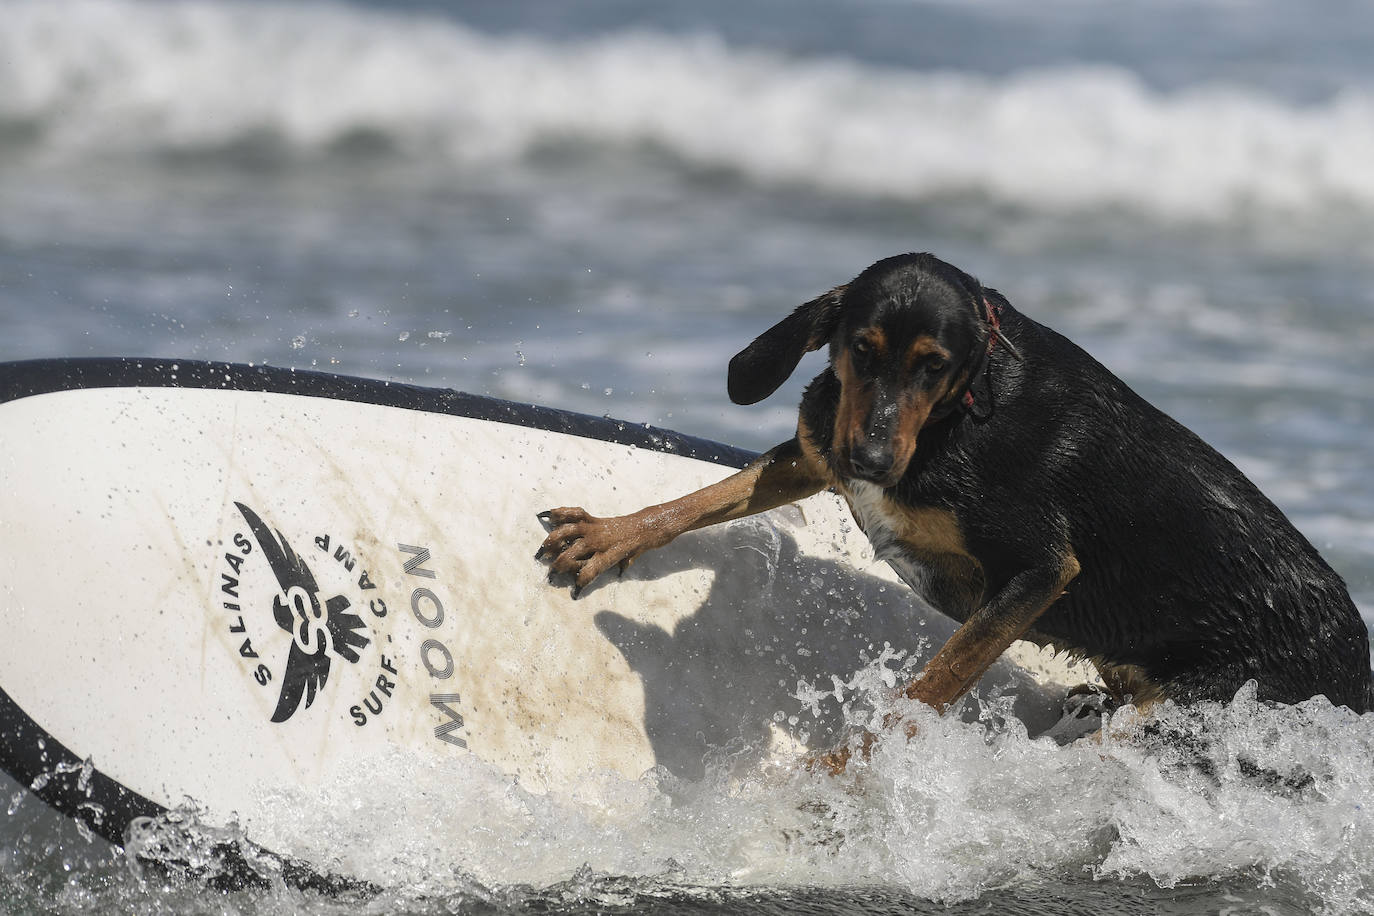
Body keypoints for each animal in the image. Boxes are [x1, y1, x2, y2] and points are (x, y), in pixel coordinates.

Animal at [535, 251, 1374, 769]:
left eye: (934, 367)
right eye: (861, 349)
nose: (872, 461)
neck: (956, 418)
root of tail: (1359, 660)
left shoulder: (1039, 570)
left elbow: (926, 689)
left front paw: (841, 768)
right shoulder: (816, 449)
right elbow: (701, 499)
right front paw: (607, 537)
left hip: (1197, 709)